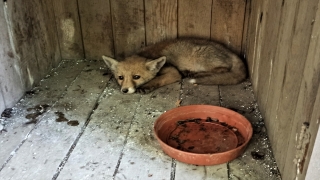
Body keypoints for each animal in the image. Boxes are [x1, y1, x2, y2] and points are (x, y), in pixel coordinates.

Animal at [101, 38, 246, 94]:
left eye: (136, 77)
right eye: (120, 78)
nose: (125, 90)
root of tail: (230, 51)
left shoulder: (173, 72)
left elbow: (158, 79)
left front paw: (147, 86)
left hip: (200, 57)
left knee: (222, 70)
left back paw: (195, 74)